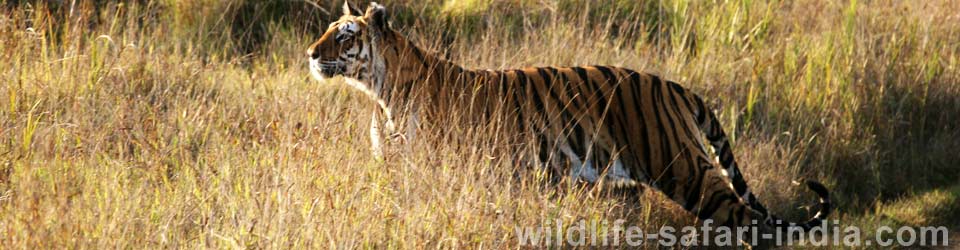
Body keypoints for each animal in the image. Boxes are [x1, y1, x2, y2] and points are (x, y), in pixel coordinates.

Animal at [310, 1, 832, 232]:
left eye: (344, 36)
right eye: (328, 30)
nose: (310, 54)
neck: (381, 92)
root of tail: (674, 86)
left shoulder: (439, 171)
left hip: (684, 168)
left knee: (750, 221)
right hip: (628, 180)